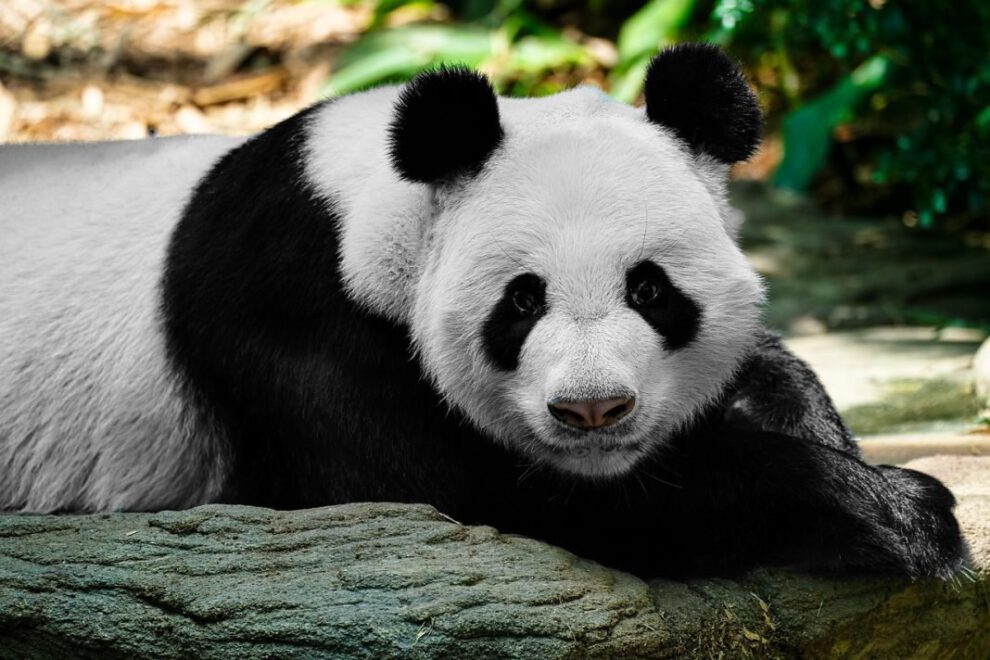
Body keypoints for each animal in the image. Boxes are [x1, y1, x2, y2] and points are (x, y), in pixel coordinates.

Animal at [0, 43, 966, 578]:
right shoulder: (294, 317)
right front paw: (899, 511)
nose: (592, 411)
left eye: (649, 289)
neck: (374, 210)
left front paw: (812, 429)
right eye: (522, 300)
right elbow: (486, 494)